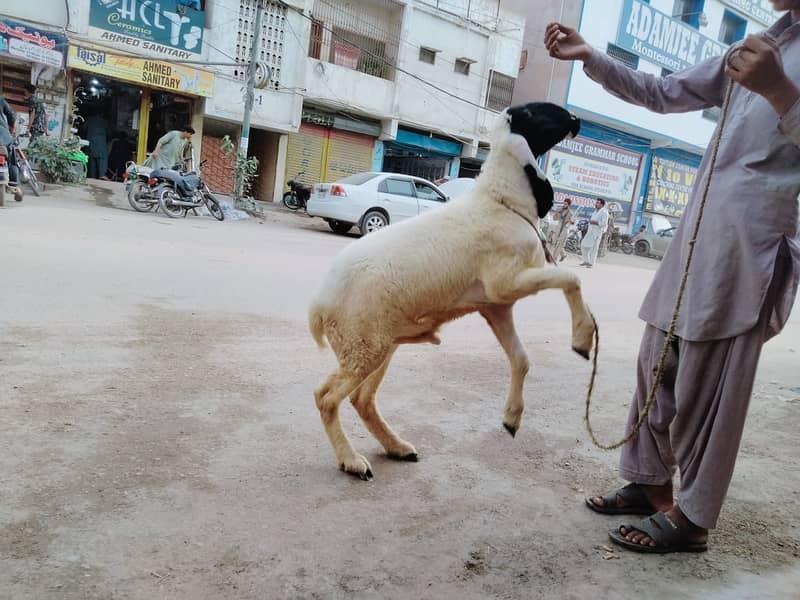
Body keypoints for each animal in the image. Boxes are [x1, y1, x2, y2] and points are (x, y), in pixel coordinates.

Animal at [310, 102, 596, 478]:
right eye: (534, 113)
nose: (576, 121)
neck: (502, 200)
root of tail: (319, 303)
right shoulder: (505, 283)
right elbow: (570, 278)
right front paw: (583, 340)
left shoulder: (494, 305)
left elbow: (521, 359)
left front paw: (511, 419)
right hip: (362, 345)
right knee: (326, 397)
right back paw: (352, 461)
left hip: (379, 344)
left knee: (362, 399)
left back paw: (397, 447)